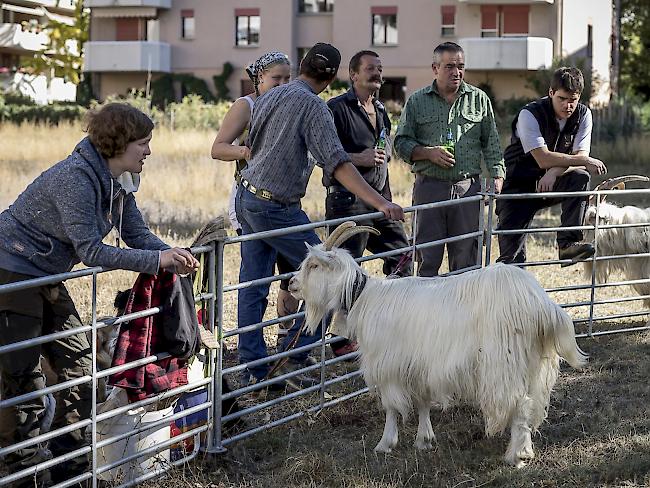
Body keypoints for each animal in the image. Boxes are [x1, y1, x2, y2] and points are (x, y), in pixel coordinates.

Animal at [292, 223, 584, 468]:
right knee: (531, 403)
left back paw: (517, 455)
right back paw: (524, 449)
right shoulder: (420, 364)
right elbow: (423, 401)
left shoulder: (387, 365)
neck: (364, 298)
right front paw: (424, 439)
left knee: (520, 403)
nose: (291, 283)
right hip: (534, 363)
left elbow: (390, 407)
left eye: (314, 265)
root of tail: (540, 304)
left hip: (504, 363)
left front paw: (385, 443)